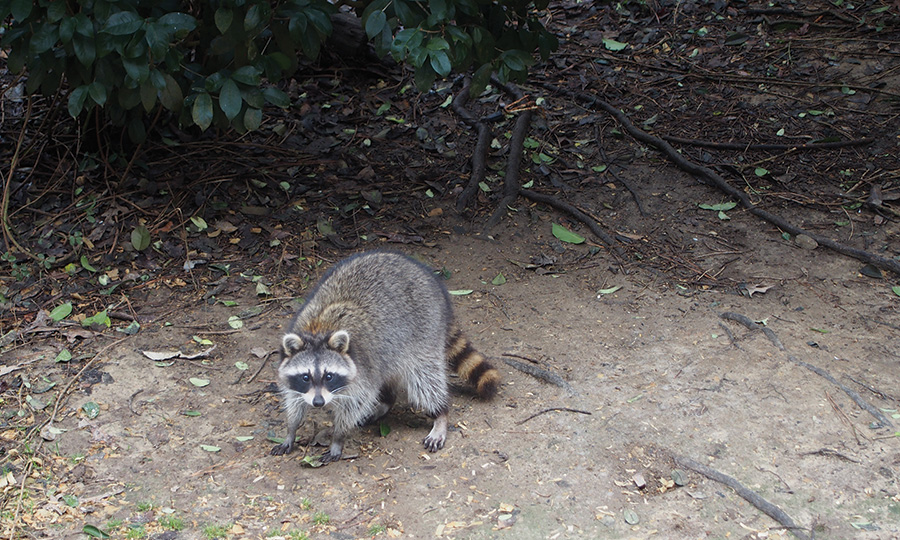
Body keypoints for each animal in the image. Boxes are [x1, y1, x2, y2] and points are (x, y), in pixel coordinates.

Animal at [270, 251, 502, 462]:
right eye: (305, 377)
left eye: (329, 376)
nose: (318, 403)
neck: (318, 331)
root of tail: (429, 279)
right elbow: (294, 399)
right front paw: (291, 428)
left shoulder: (363, 369)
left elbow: (356, 402)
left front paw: (338, 436)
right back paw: (387, 402)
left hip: (424, 333)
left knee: (424, 380)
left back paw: (440, 413)